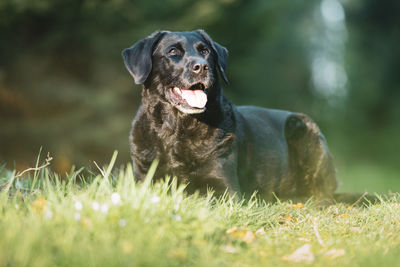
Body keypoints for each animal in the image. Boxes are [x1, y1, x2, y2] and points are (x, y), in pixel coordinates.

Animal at [122, 30, 344, 203]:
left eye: (205, 51)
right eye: (173, 52)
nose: (202, 66)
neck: (177, 129)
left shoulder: (225, 188)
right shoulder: (144, 180)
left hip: (302, 127)